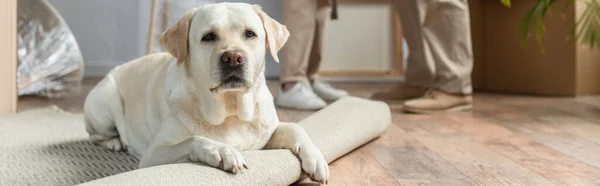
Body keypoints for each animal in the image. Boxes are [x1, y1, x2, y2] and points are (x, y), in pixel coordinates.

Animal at [81, 2, 328, 184]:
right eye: (208, 36)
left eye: (250, 34)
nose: (233, 58)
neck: (230, 111)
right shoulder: (153, 154)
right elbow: (195, 139)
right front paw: (223, 151)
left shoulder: (265, 135)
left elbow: (295, 127)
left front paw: (315, 157)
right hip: (106, 103)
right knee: (96, 134)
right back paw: (115, 141)